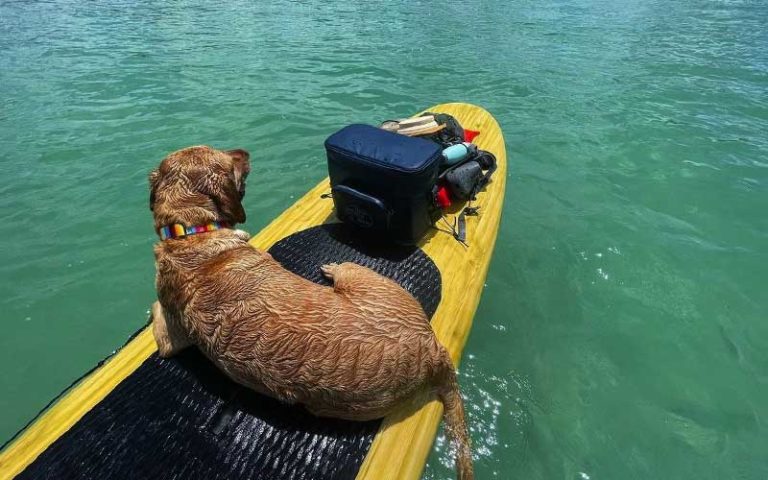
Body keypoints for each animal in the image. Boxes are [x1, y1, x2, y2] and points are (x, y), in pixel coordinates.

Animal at [149, 144, 472, 478]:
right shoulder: (171, 340)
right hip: (362, 275)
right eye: (229, 159)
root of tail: (431, 348)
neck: (190, 233)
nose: (245, 151)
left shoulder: (172, 340)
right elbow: (157, 308)